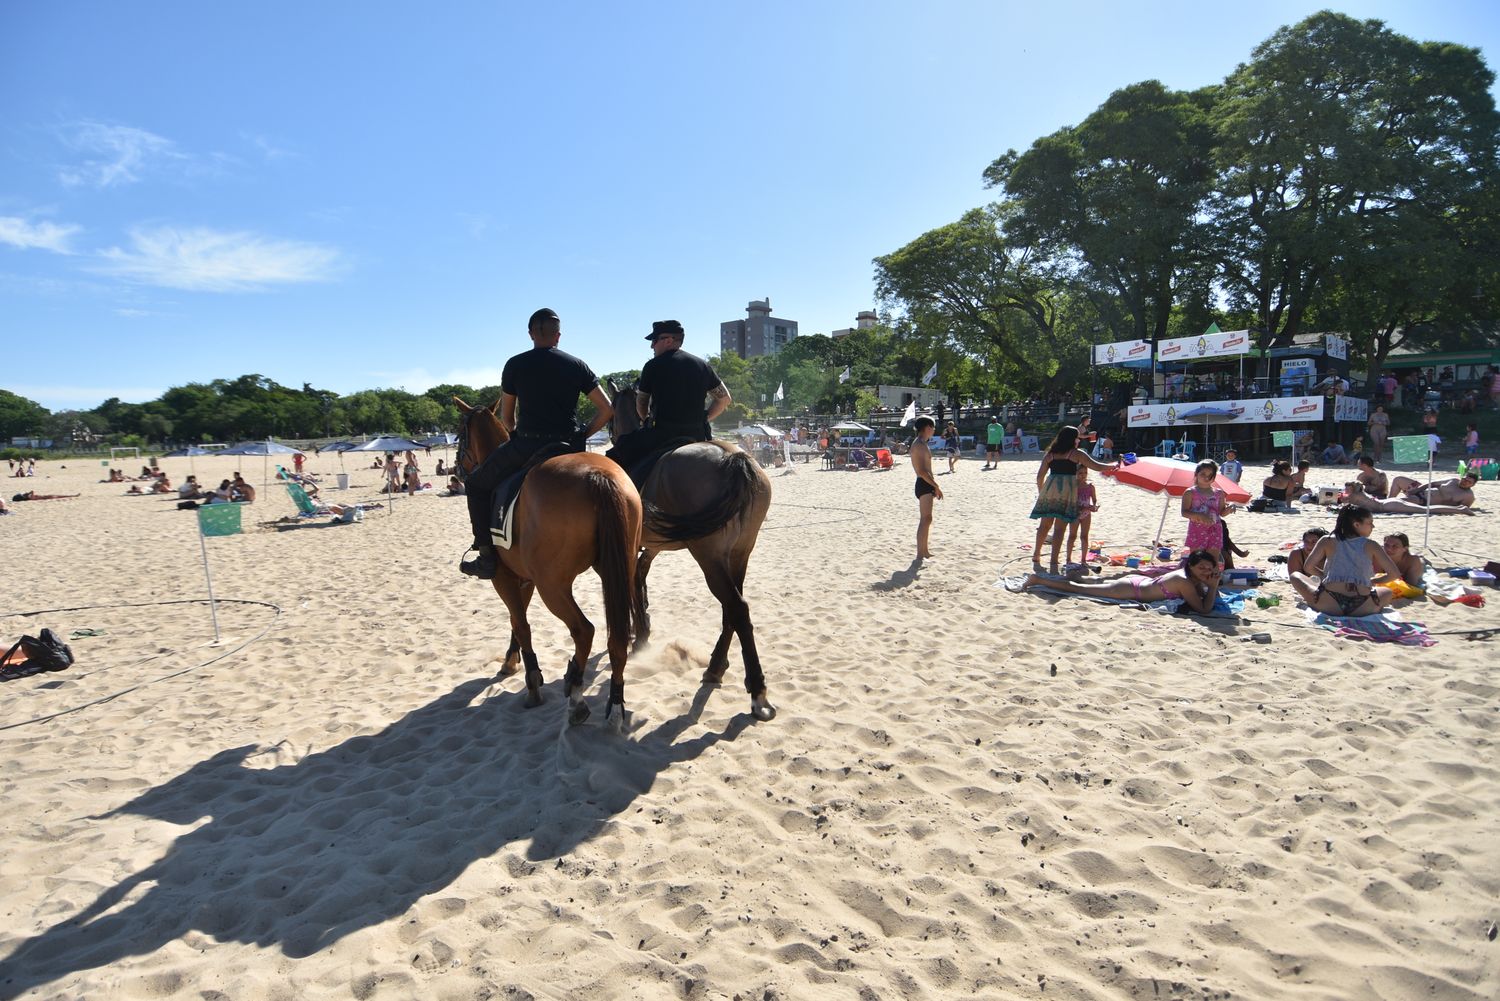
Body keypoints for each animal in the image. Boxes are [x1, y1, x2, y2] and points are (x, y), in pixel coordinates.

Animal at [456, 396, 645, 732]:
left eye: (460, 435)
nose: (457, 468)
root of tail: (599, 477)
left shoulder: (504, 578)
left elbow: (521, 623)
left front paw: (531, 681)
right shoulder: (525, 578)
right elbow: (516, 622)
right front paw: (512, 659)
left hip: (553, 586)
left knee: (584, 630)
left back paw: (577, 696)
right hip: (617, 571)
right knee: (617, 638)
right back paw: (613, 704)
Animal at [606, 384, 774, 720]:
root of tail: (734, 458)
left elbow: (632, 583)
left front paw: (639, 634)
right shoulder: (652, 548)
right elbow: (640, 578)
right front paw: (643, 627)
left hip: (708, 555)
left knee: (736, 608)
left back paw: (756, 690)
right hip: (739, 553)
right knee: (733, 609)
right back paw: (716, 667)